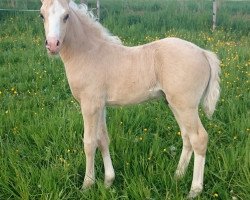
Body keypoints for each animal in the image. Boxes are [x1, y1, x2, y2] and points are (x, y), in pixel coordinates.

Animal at [39, 0, 221, 198]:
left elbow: (89, 142)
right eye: (42, 15)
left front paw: (87, 185)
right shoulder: (100, 105)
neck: (88, 53)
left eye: (66, 16)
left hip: (185, 106)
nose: (52, 45)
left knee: (199, 138)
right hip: (175, 104)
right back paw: (177, 176)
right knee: (187, 137)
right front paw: (108, 181)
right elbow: (103, 139)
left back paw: (194, 190)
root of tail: (203, 53)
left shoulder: (90, 104)